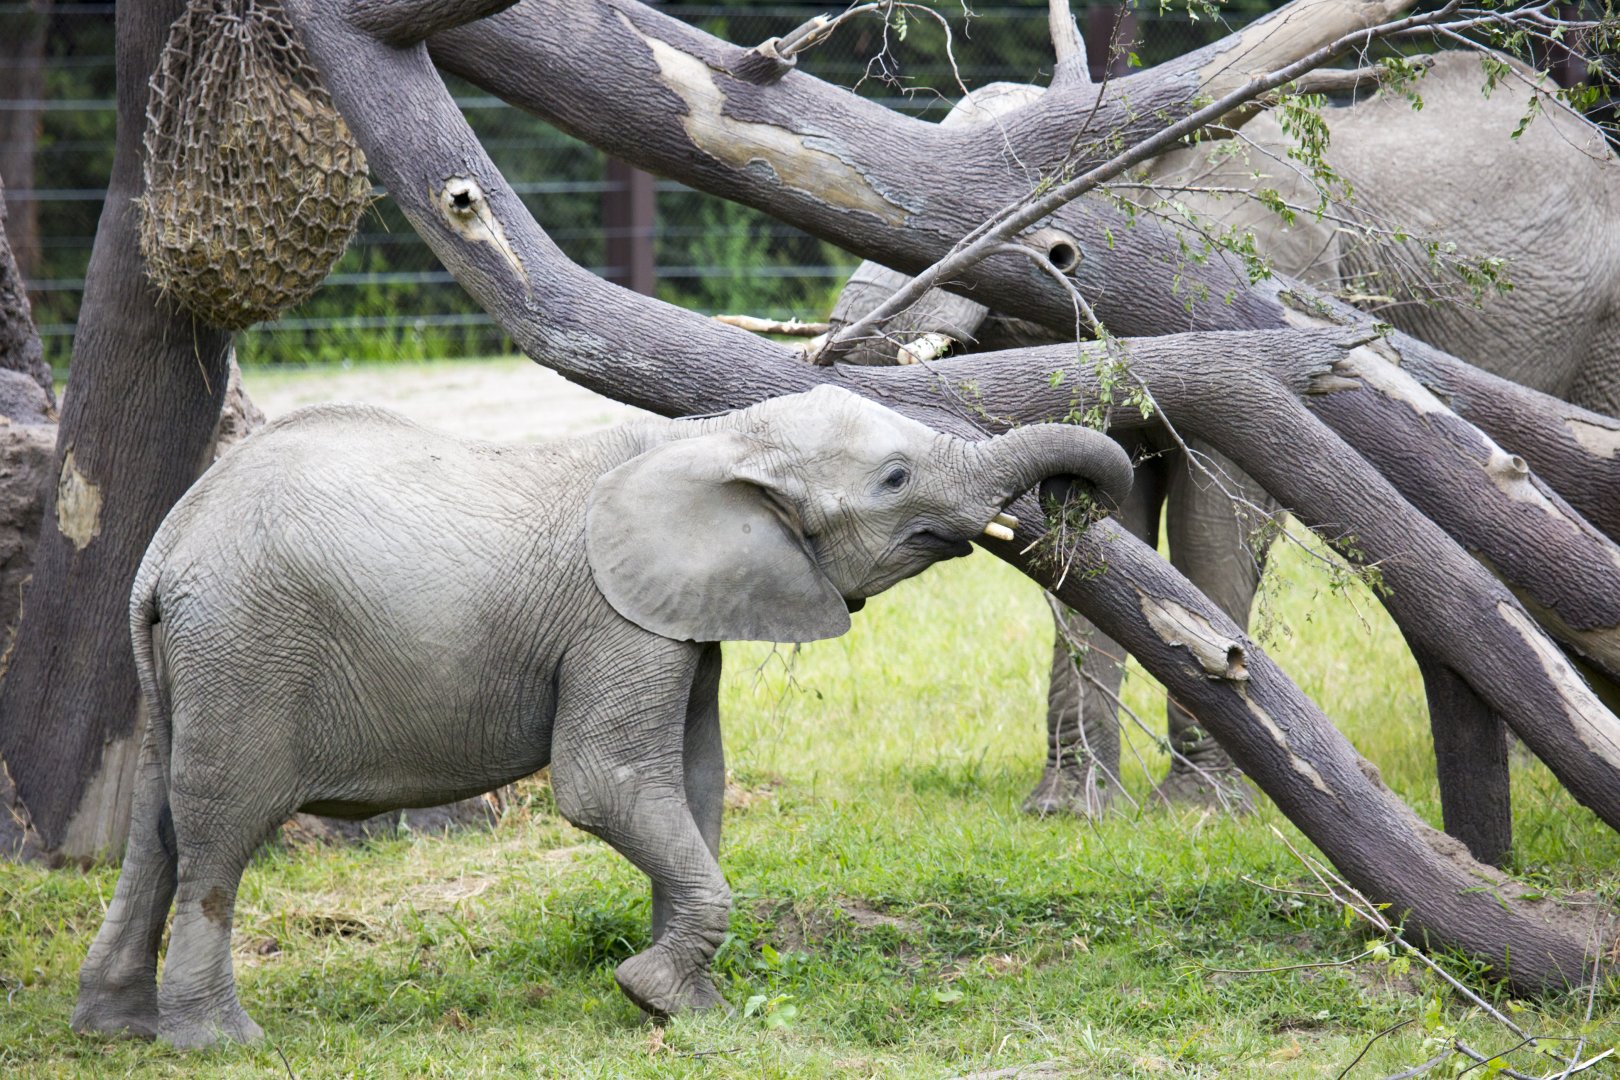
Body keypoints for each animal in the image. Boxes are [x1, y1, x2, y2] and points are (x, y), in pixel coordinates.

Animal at [70, 384, 1132, 1049]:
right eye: (897, 478)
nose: (1075, 497)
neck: (717, 433)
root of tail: (166, 551)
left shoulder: (681, 615)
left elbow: (695, 783)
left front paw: (688, 1008)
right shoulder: (615, 620)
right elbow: (607, 783)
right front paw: (654, 996)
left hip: (188, 661)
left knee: (157, 830)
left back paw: (117, 1029)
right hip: (246, 649)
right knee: (220, 834)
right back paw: (221, 1043)